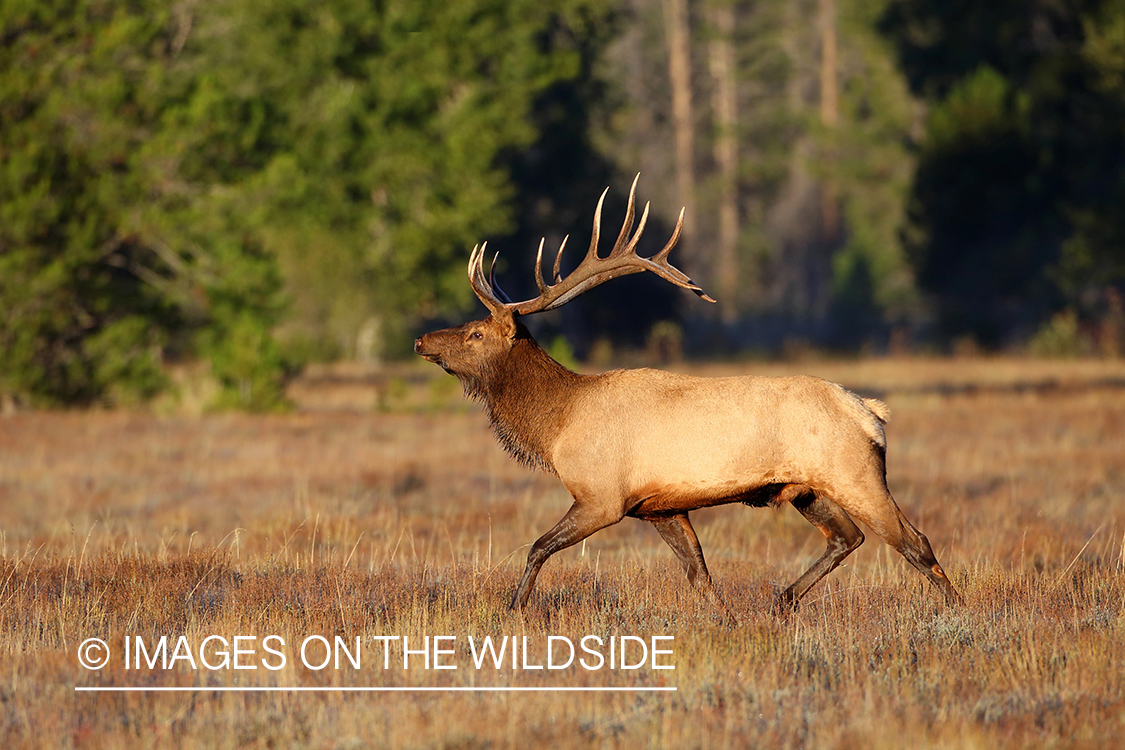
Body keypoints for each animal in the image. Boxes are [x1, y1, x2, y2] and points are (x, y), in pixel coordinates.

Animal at [414, 175, 962, 616]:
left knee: (914, 541)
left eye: (475, 334)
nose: (421, 340)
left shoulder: (602, 496)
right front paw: (727, 620)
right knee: (848, 537)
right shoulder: (658, 506)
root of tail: (871, 412)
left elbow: (537, 548)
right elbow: (700, 575)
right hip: (807, 488)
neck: (556, 423)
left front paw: (512, 610)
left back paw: (959, 613)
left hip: (854, 472)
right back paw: (782, 601)